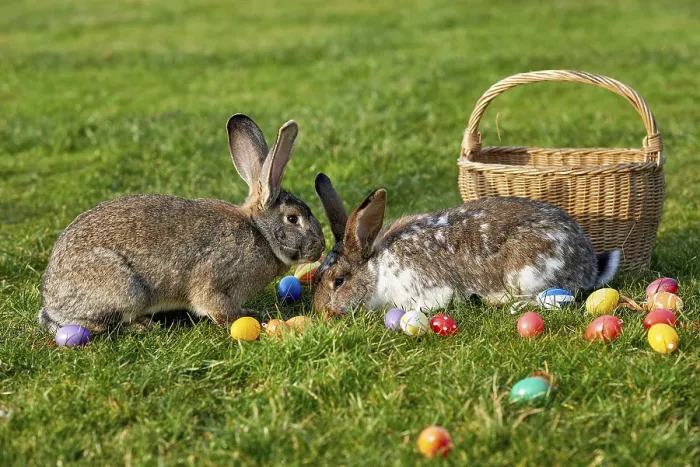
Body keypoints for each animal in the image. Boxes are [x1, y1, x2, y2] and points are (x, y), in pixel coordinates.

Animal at [39, 114, 325, 333]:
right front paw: (248, 318)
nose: (320, 248)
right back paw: (142, 325)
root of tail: (52, 302)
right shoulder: (215, 281)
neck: (260, 233)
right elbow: (216, 307)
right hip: (125, 289)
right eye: (292, 218)